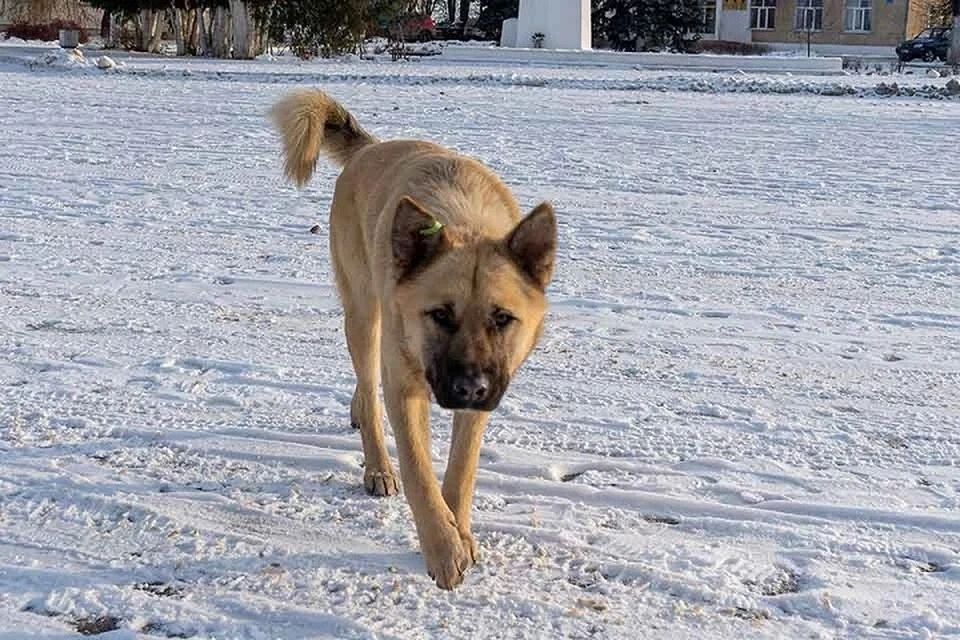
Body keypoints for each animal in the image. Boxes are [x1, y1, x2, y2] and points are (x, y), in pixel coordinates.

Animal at [268, 90, 556, 592]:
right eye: (439, 314)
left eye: (502, 318)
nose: (470, 388)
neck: (464, 224)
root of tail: (370, 149)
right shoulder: (405, 385)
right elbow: (419, 471)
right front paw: (442, 549)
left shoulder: (482, 397)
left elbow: (461, 471)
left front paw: (460, 532)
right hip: (365, 315)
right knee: (369, 389)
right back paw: (377, 464)